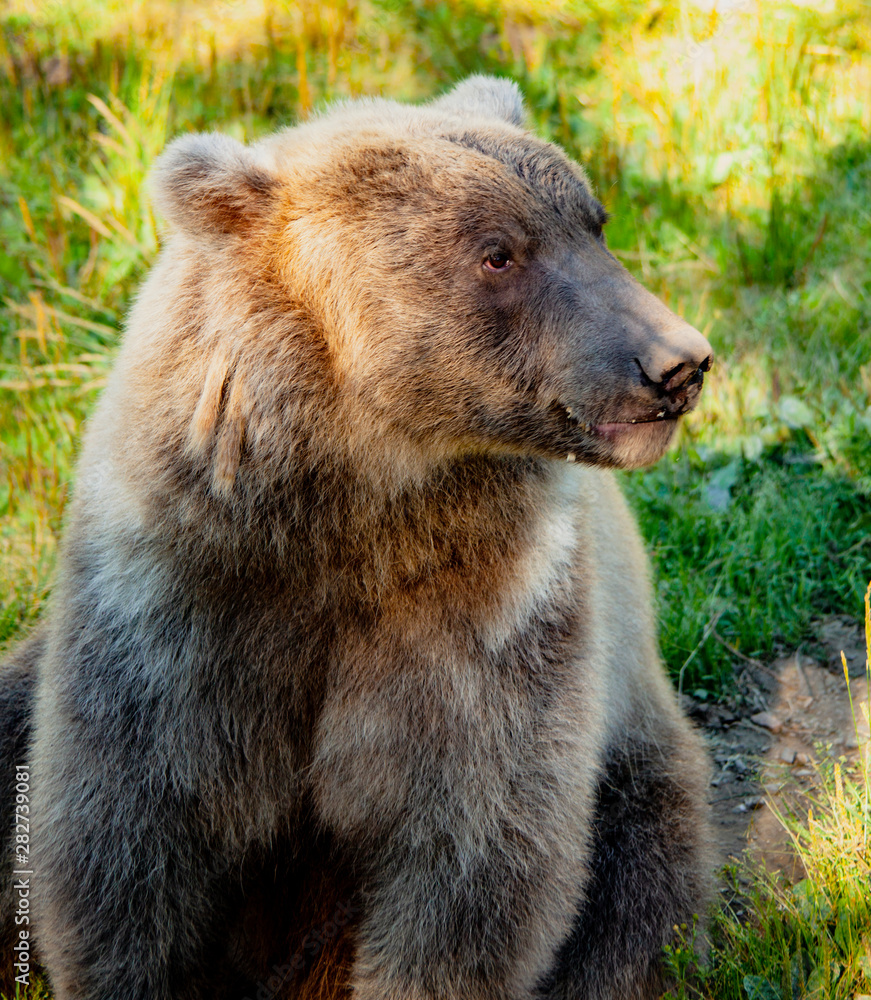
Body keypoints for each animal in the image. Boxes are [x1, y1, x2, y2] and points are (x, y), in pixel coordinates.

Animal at [0, 76, 714, 1000]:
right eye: (499, 252)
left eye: (593, 221)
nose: (677, 363)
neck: (353, 489)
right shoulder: (177, 587)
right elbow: (127, 828)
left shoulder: (490, 609)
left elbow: (471, 852)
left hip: (634, 774)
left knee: (631, 902)